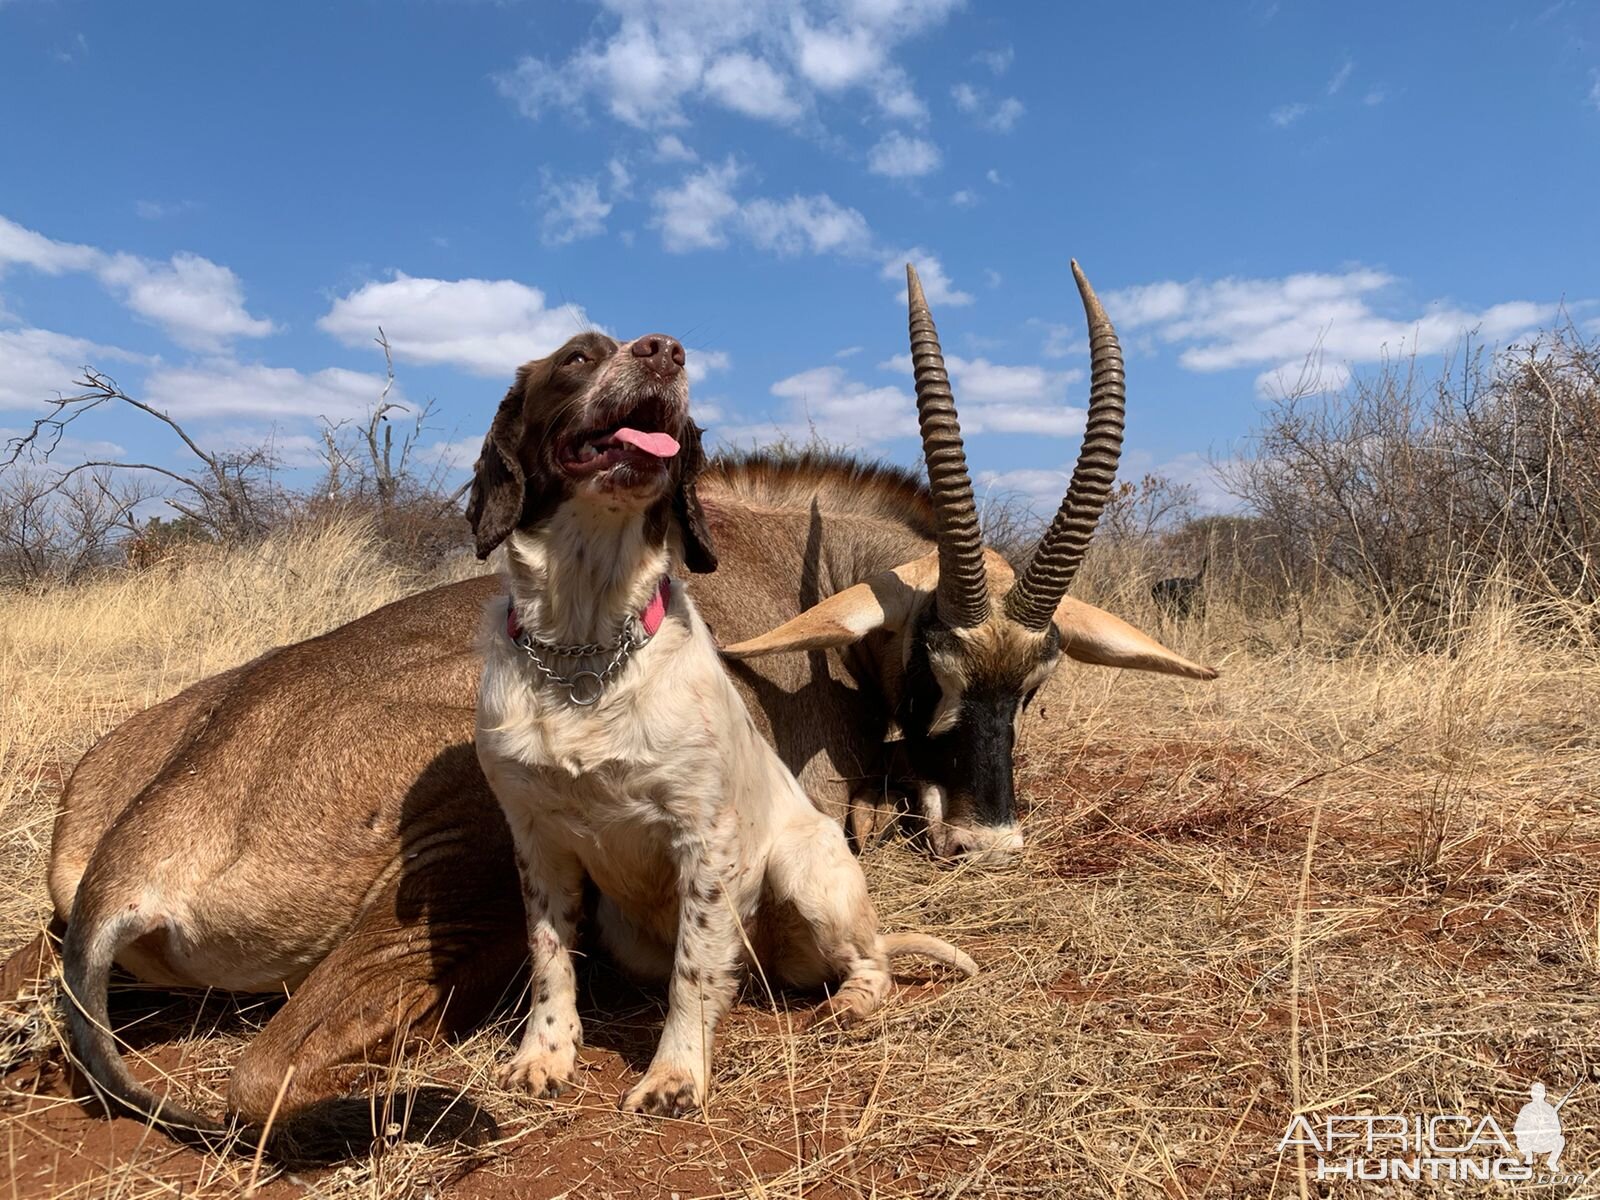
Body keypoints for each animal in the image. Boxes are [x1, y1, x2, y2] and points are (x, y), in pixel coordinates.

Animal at [467, 326, 972, 1120]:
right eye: (577, 356)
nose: (666, 349)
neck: (586, 652)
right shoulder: (536, 842)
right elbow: (550, 961)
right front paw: (544, 1054)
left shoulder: (704, 840)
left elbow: (693, 972)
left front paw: (675, 1074)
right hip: (628, 930)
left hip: (806, 872)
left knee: (868, 962)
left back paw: (851, 1005)